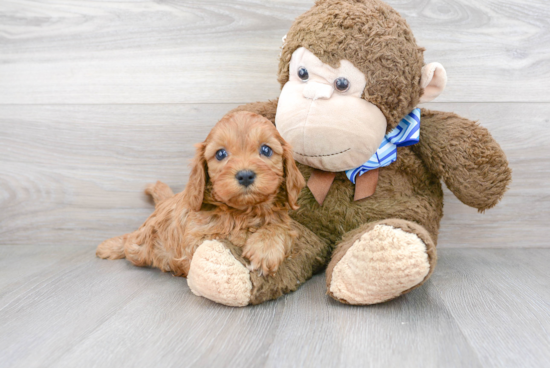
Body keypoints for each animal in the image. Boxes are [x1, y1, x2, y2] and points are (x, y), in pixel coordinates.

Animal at [97, 110, 308, 278]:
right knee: (131, 241)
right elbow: (227, 237)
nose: (245, 175)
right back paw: (109, 247)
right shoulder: (196, 239)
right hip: (141, 245)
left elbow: (278, 228)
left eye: (266, 150)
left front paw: (264, 248)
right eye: (221, 154)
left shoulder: (284, 223)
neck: (242, 211)